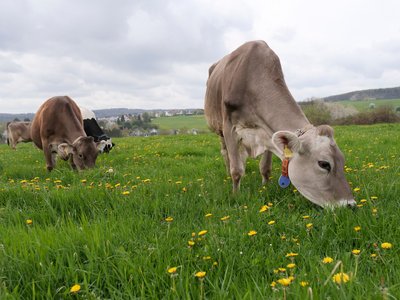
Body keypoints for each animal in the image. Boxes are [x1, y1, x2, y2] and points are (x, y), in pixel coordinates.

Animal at [205, 39, 354, 207]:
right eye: (324, 164)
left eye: (342, 160)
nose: (350, 204)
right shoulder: (229, 126)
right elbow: (236, 170)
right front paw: (236, 195)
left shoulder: (266, 132)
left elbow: (265, 168)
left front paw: (265, 187)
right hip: (219, 129)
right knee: (226, 154)